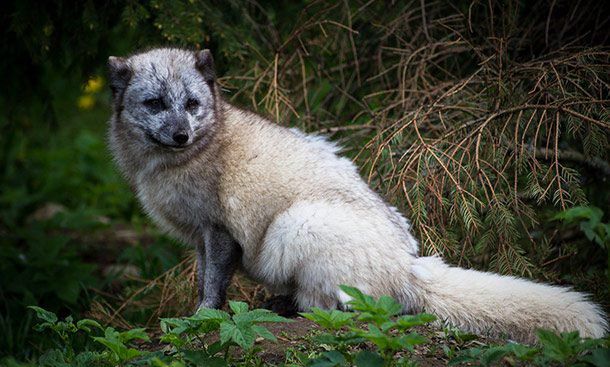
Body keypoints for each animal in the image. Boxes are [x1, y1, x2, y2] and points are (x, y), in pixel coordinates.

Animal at [107, 48, 604, 344]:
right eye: (155, 103)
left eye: (192, 104)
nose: (181, 134)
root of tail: (408, 267)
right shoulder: (198, 240)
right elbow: (204, 282)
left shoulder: (219, 231)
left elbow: (212, 288)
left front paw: (201, 321)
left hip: (296, 225)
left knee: (352, 311)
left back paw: (293, 311)